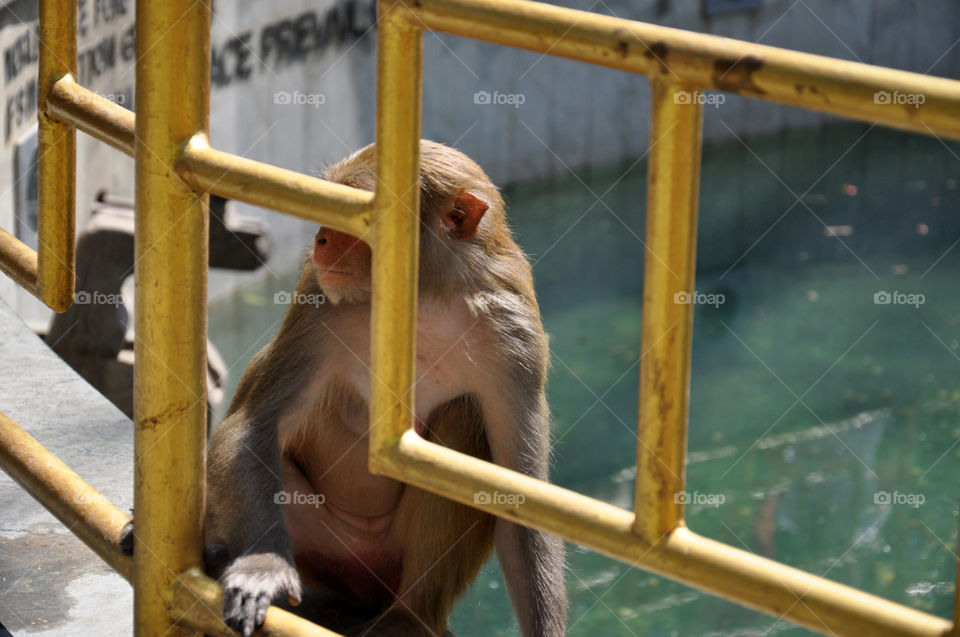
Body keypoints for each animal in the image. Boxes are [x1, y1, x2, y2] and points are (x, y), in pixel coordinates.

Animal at [124, 140, 568, 636]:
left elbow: (519, 494)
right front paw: (263, 566)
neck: (425, 298)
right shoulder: (320, 305)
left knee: (462, 423)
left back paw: (408, 617)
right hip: (325, 547)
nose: (321, 237)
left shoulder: (515, 336)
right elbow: (253, 427)